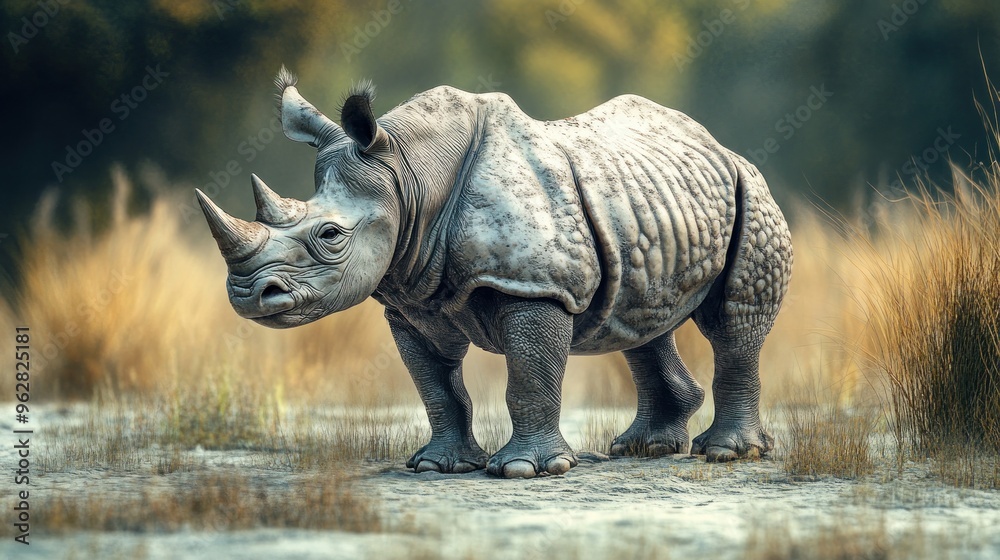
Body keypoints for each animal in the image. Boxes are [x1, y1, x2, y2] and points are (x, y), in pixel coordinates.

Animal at [196, 67, 793, 478]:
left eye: (330, 236)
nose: (248, 295)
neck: (409, 175)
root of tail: (718, 146)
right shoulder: (412, 299)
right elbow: (436, 385)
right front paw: (438, 466)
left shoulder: (536, 286)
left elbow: (529, 376)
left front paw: (526, 471)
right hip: (648, 202)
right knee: (640, 320)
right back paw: (641, 449)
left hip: (751, 189)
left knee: (731, 322)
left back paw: (726, 454)